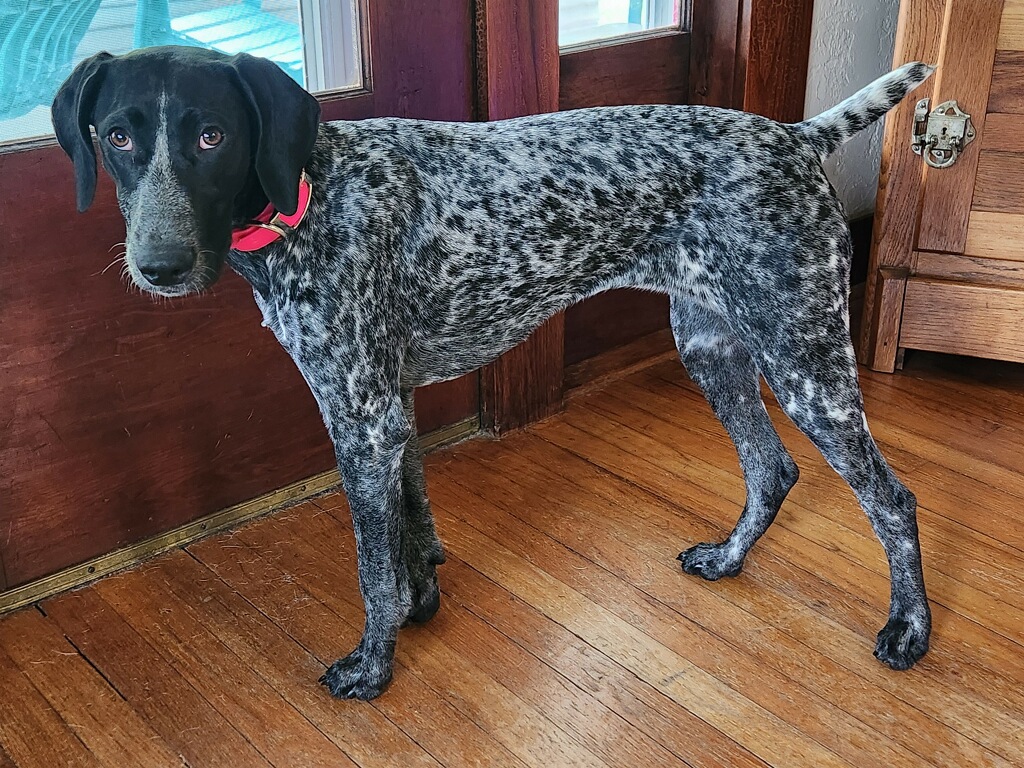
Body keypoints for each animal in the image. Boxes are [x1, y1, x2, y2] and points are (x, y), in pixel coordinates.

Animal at [53, 46, 935, 700]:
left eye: (213, 137)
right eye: (117, 137)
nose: (159, 265)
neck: (312, 191)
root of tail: (795, 136)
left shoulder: (362, 420)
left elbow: (372, 569)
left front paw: (373, 666)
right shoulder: (392, 409)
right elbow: (411, 530)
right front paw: (420, 607)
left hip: (804, 359)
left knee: (891, 499)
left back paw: (910, 630)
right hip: (712, 346)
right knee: (771, 468)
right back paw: (727, 559)